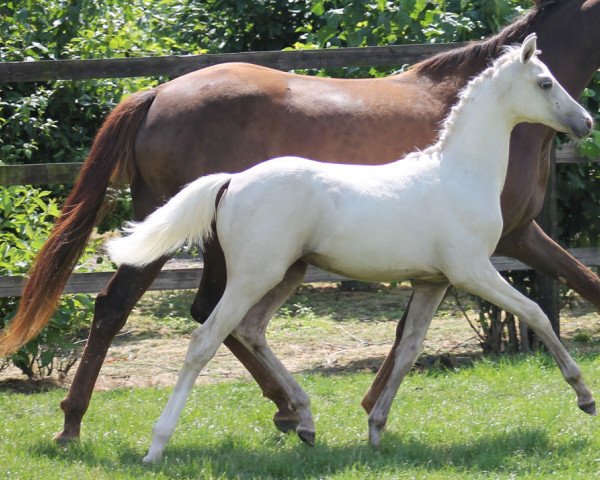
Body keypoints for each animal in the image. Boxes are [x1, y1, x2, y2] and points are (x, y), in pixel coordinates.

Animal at [0, 0, 596, 440]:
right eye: (545, 81)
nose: (585, 121)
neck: (453, 168)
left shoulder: (440, 275)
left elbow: (409, 344)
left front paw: (376, 421)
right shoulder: (486, 259)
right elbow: (546, 307)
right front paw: (583, 393)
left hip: (262, 262)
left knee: (211, 320)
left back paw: (291, 414)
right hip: (246, 264)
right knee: (177, 317)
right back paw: (109, 430)